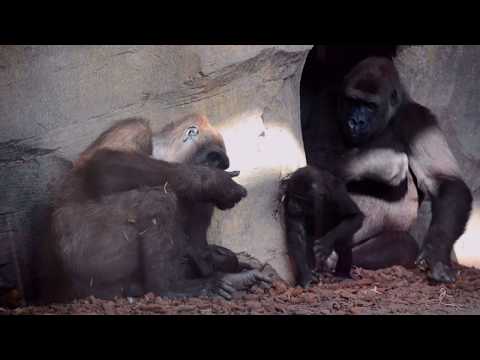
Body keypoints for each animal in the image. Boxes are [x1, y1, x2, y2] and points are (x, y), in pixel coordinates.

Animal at [34, 115, 270, 304]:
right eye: (214, 158)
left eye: (222, 163)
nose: (216, 169)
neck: (160, 152)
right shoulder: (133, 128)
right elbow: (105, 165)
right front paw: (210, 180)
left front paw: (216, 260)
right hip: (85, 267)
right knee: (157, 199)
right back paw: (169, 288)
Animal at [304, 57, 472, 284]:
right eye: (353, 101)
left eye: (370, 106)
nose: (356, 121)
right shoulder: (327, 102)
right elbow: (316, 154)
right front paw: (381, 162)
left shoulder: (420, 120)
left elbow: (444, 180)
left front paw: (436, 252)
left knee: (401, 244)